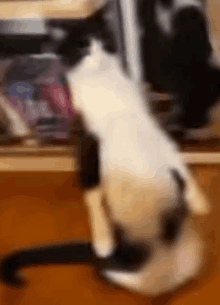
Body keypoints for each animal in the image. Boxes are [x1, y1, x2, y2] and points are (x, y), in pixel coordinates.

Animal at [0, 4, 210, 294]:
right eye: (84, 47)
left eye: (104, 40)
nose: (99, 52)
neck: (104, 86)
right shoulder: (87, 144)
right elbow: (91, 194)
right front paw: (102, 241)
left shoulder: (154, 132)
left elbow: (179, 162)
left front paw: (200, 202)